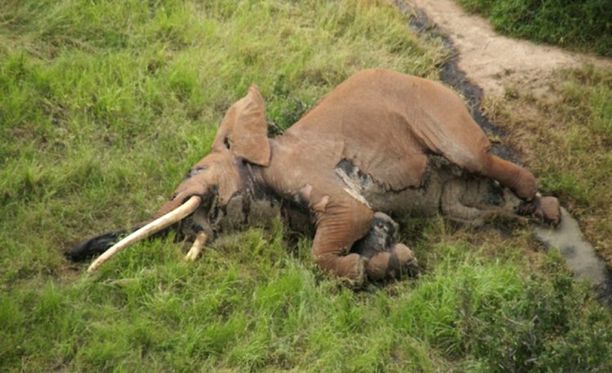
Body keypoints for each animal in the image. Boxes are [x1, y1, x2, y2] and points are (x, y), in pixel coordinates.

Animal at [67, 68, 560, 284]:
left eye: (195, 171)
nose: (72, 255)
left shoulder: (301, 170)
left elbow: (349, 219)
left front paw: (361, 271)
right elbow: (375, 223)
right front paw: (392, 261)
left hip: (439, 112)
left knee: (476, 157)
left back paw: (543, 208)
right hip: (452, 196)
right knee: (462, 208)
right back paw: (526, 214)